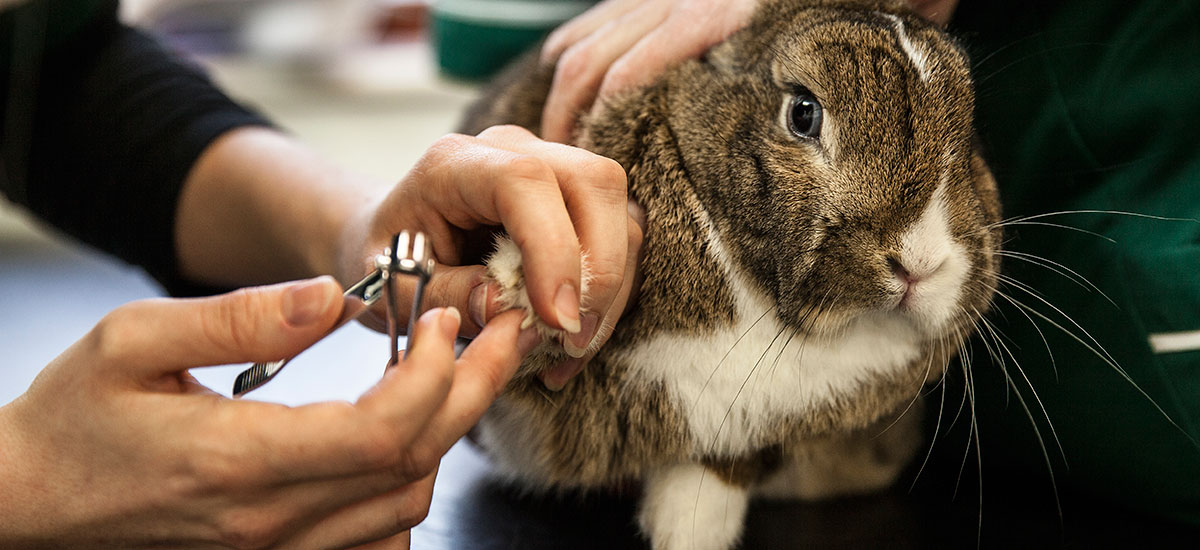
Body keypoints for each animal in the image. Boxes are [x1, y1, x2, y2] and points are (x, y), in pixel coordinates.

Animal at [453, 2, 998, 547]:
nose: (920, 263)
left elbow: (711, 479)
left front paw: (689, 533)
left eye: (968, 136)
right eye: (804, 113)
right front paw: (532, 288)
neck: (763, 304)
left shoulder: (748, 440)